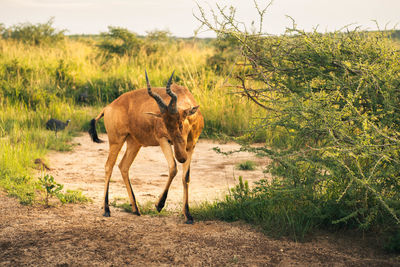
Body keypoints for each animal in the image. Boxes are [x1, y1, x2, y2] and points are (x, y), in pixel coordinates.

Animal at [89, 71, 205, 224]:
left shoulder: (191, 147)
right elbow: (173, 168)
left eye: (180, 123)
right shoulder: (163, 140)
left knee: (123, 166)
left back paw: (135, 209)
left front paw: (188, 215)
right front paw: (159, 205)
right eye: (165, 125)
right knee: (109, 166)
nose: (181, 157)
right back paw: (106, 209)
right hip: (116, 141)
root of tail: (107, 107)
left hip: (134, 143)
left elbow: (186, 177)